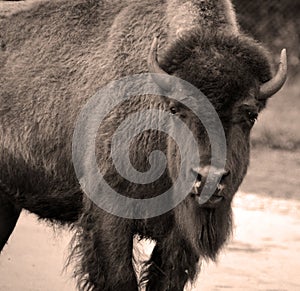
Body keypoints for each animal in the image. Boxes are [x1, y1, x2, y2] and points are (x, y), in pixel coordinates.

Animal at [0, 0, 286, 291]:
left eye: (250, 114)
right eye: (176, 109)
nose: (209, 178)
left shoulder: (178, 238)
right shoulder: (108, 217)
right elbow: (121, 277)